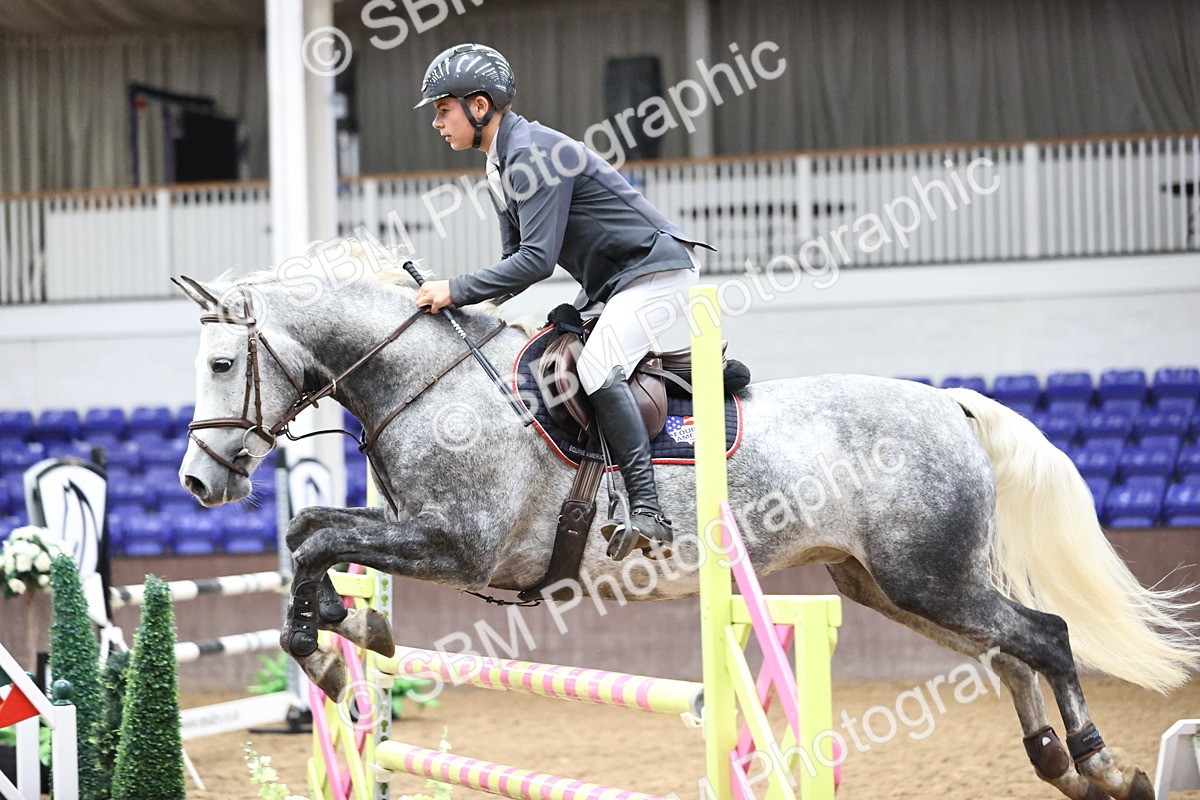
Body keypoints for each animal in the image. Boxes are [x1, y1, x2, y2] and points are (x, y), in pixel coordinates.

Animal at [174, 245, 1197, 800]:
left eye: (223, 363)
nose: (194, 480)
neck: (434, 381)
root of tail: (951, 403)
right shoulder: (415, 529)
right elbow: (312, 529)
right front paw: (344, 634)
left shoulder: (457, 543)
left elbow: (318, 536)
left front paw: (329, 643)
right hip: (891, 585)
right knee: (1006, 650)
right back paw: (1058, 763)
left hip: (927, 577)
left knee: (1045, 635)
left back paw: (1105, 766)